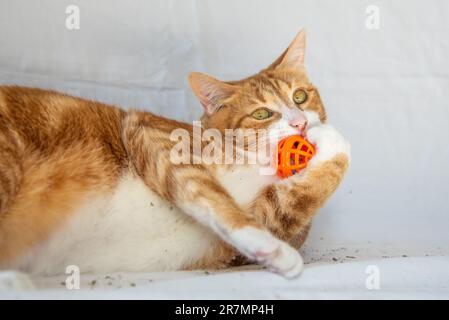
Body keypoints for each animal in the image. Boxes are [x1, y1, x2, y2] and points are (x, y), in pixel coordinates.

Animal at [0, 30, 350, 280]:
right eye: (263, 113)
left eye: (300, 96)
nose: (300, 122)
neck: (250, 162)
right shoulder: (153, 134)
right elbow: (213, 197)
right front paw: (275, 250)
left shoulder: (265, 224)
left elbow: (294, 199)